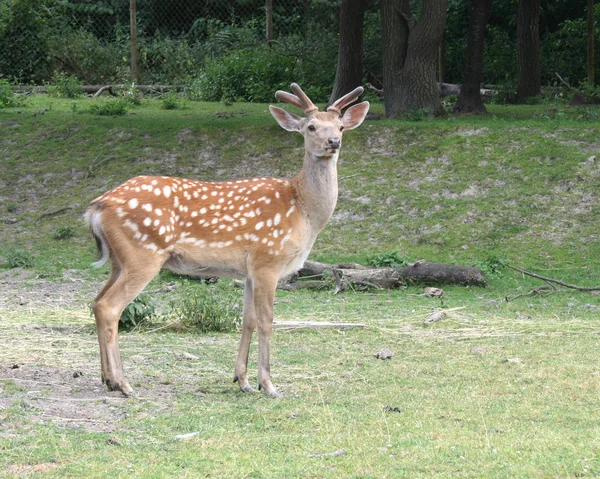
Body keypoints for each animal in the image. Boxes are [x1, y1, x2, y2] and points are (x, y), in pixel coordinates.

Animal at [82, 83, 368, 398]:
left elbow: (248, 320)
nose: (333, 142)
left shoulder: (249, 271)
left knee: (96, 302)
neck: (303, 210)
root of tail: (97, 207)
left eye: (341, 126)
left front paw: (242, 381)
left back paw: (107, 379)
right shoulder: (267, 260)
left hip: (119, 260)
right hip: (142, 254)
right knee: (110, 307)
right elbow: (267, 321)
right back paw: (124, 383)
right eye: (311, 127)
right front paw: (268, 384)